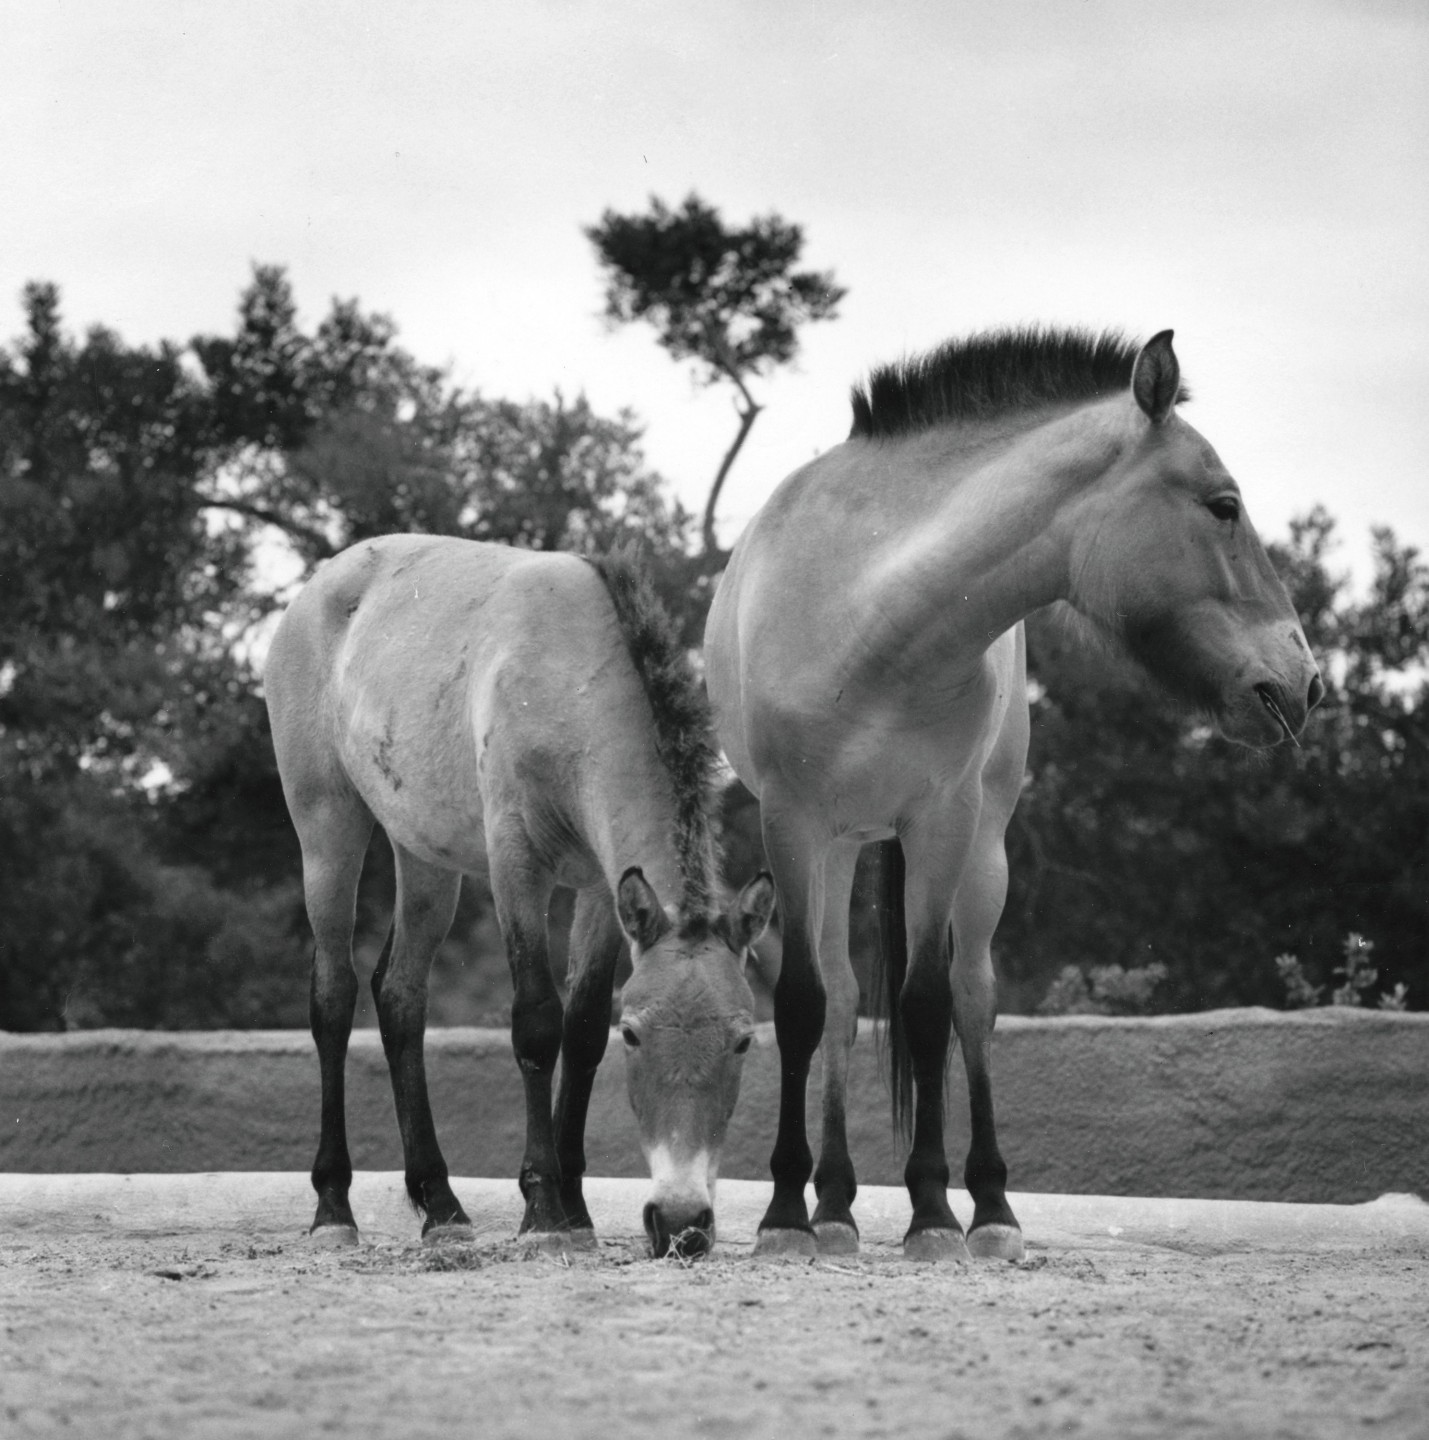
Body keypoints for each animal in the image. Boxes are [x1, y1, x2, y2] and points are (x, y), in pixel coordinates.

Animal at [708, 329, 1325, 1261]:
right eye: (1222, 506)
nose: (1304, 681)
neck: (868, 616)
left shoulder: (941, 822)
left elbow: (928, 1005)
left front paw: (933, 1212)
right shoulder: (790, 822)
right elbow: (804, 1004)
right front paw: (785, 1212)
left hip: (981, 848)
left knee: (972, 996)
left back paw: (991, 1210)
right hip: (840, 845)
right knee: (845, 1000)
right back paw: (836, 1205)